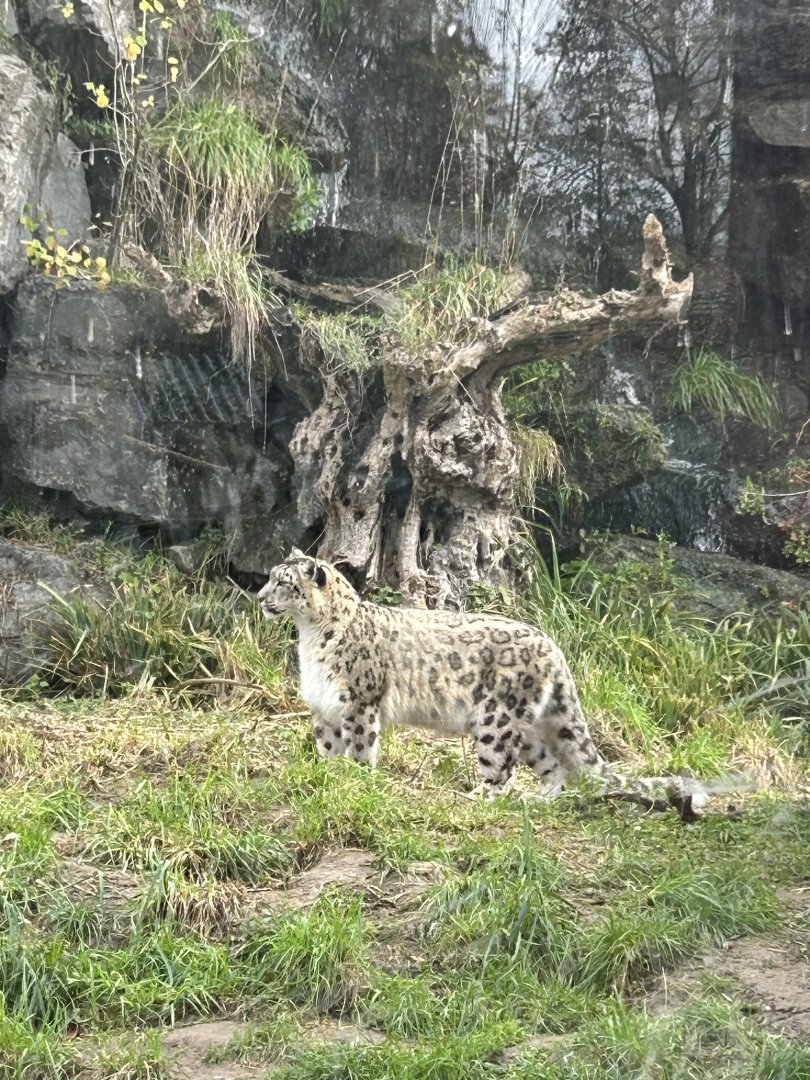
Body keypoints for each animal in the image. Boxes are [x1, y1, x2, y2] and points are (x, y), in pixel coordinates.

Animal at [259, 549, 707, 816]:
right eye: (271, 577)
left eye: (283, 582)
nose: (260, 597)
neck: (310, 639)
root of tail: (553, 647)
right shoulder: (325, 709)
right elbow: (327, 749)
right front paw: (328, 775)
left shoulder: (358, 703)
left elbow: (360, 747)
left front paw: (356, 779)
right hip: (528, 729)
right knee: (553, 766)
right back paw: (536, 798)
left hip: (496, 719)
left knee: (500, 771)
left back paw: (474, 798)